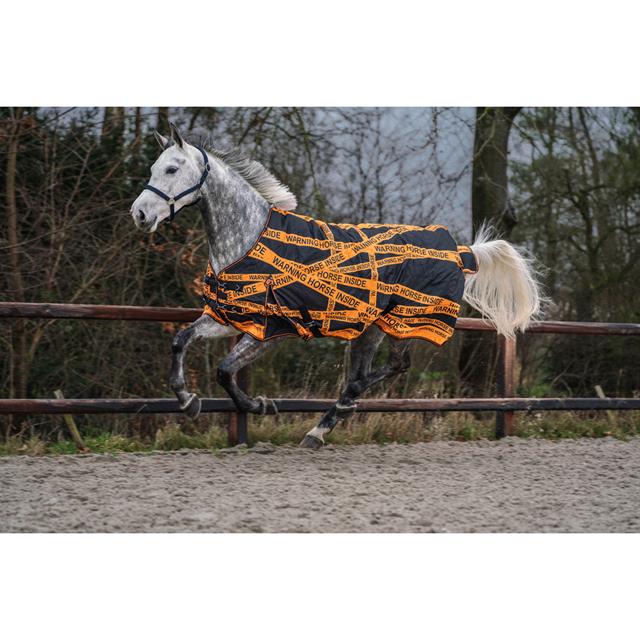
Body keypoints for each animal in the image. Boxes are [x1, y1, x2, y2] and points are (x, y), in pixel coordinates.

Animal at [130, 123, 541, 449]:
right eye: (153, 167)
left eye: (171, 168)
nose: (140, 214)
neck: (249, 238)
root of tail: (459, 250)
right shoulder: (229, 317)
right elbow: (180, 341)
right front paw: (188, 402)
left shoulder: (270, 331)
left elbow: (225, 371)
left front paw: (261, 406)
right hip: (372, 328)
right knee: (371, 372)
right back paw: (325, 423)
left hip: (399, 322)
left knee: (385, 370)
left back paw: (328, 418)